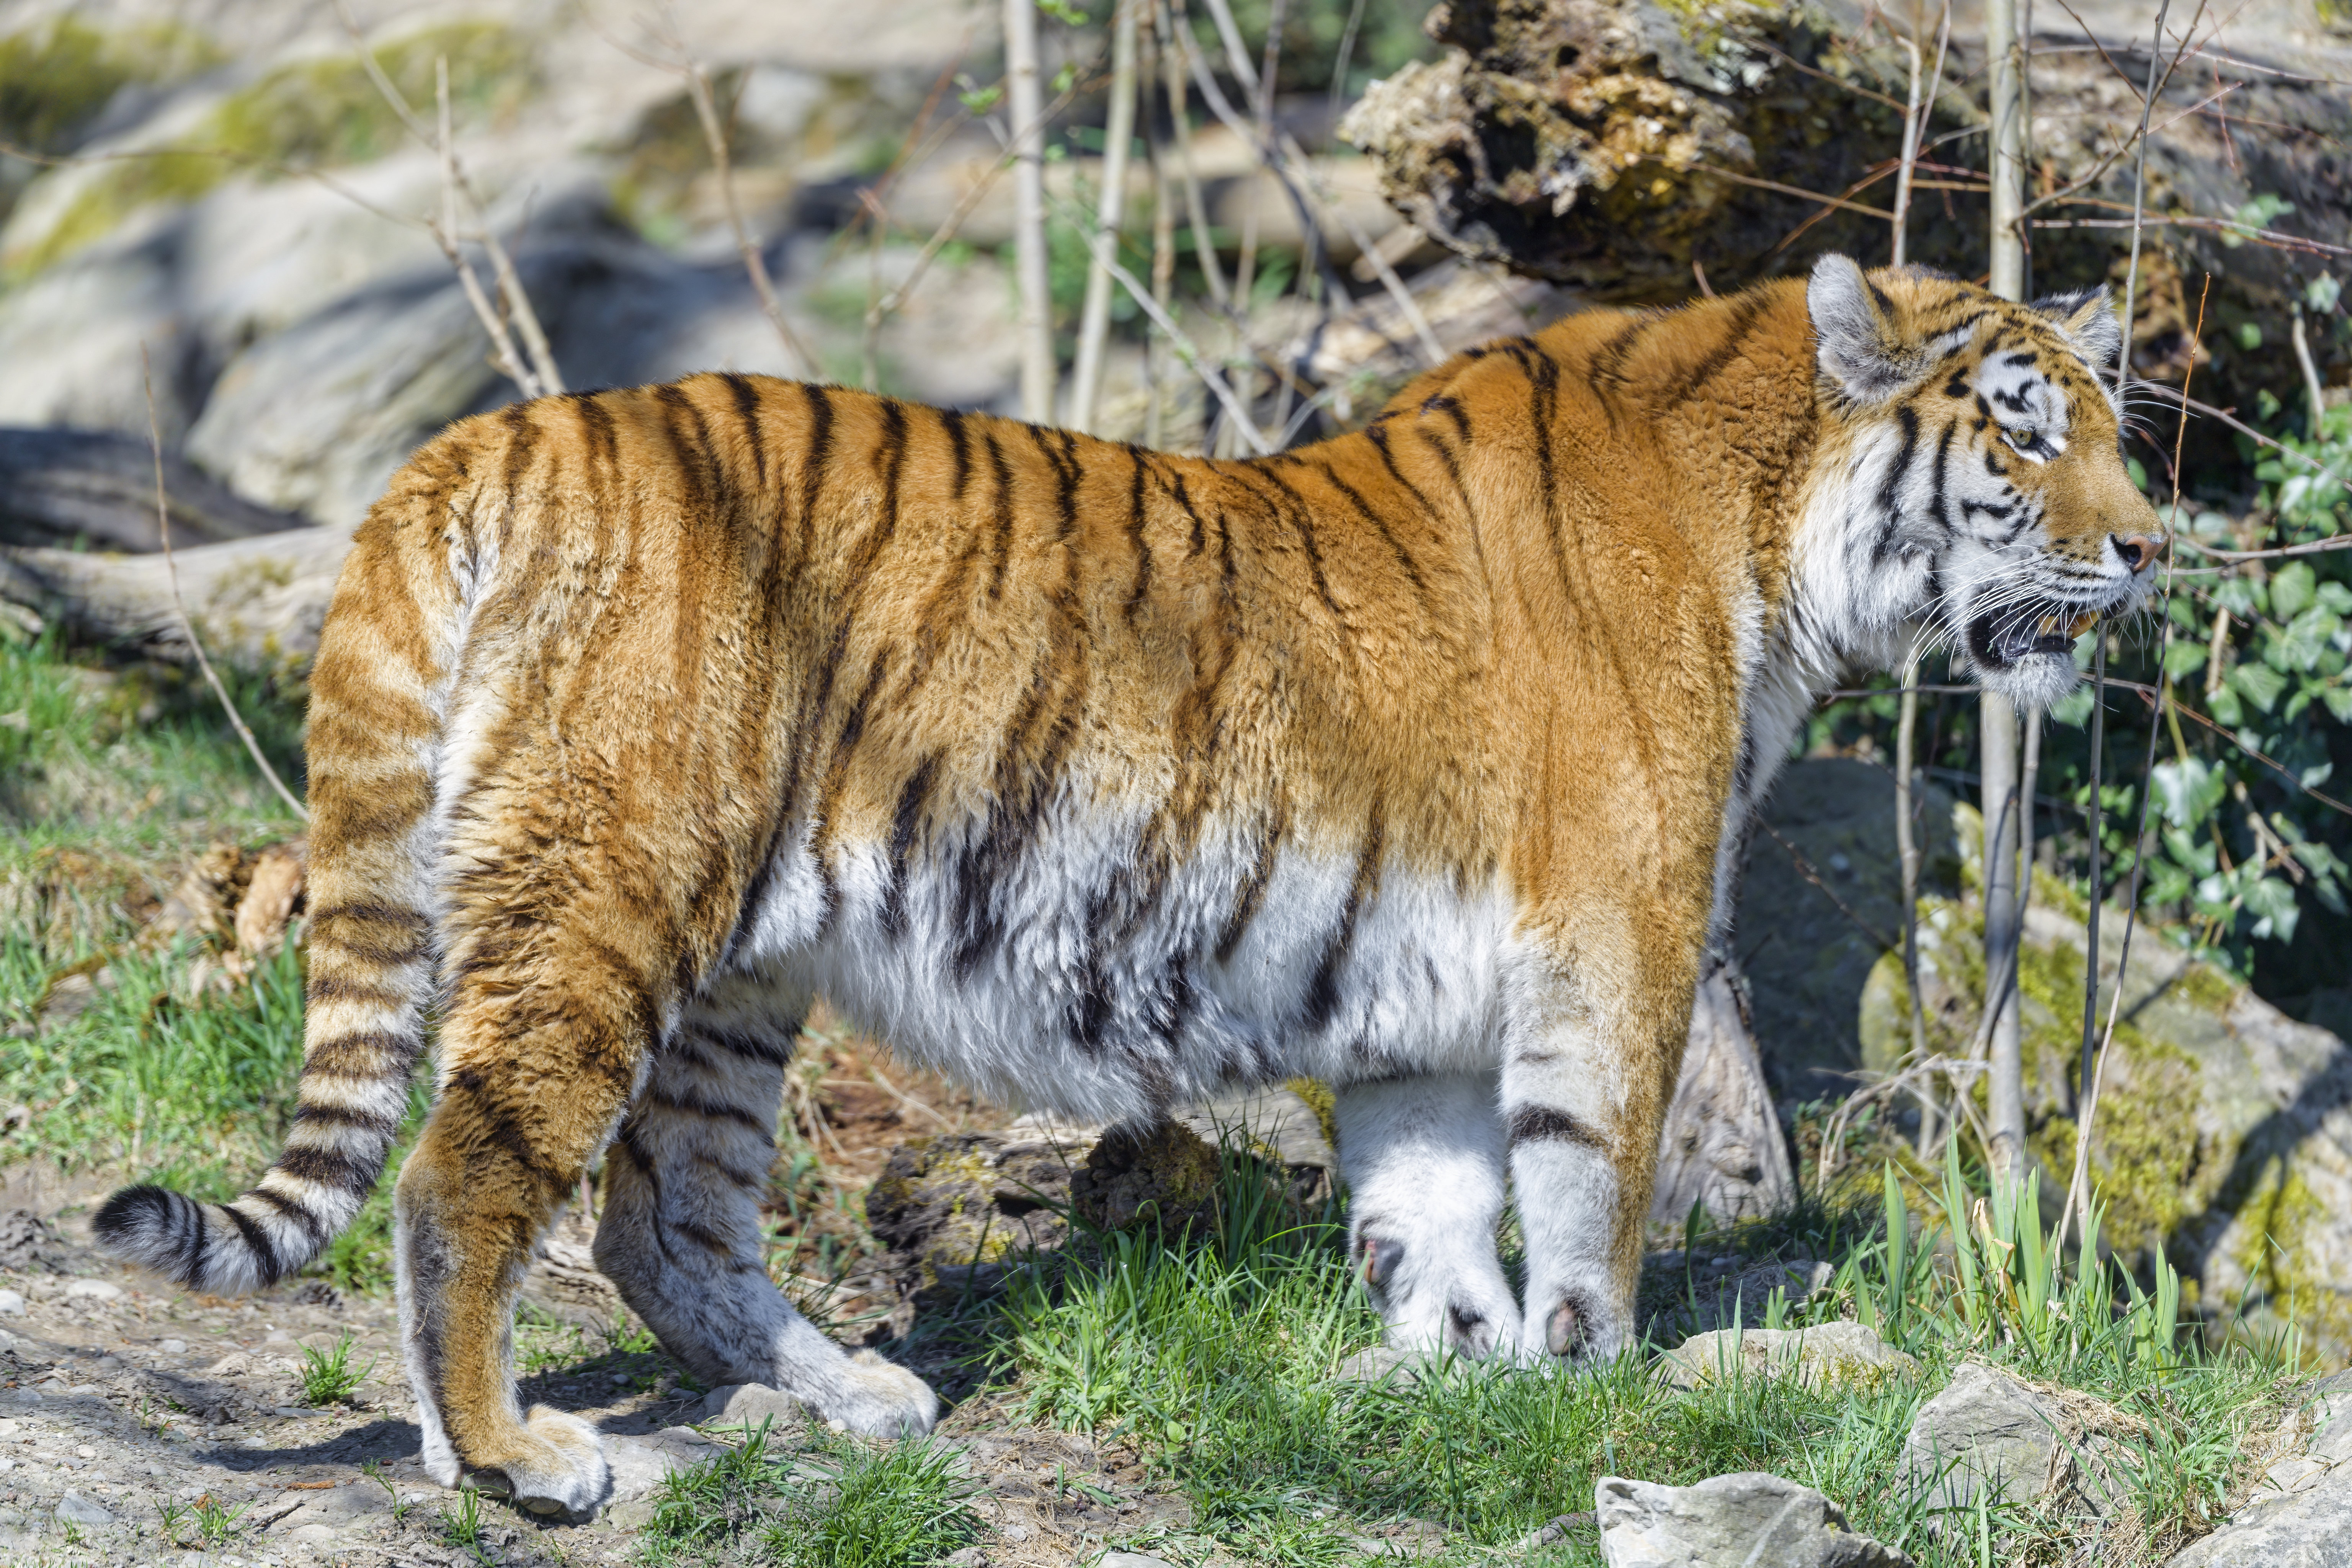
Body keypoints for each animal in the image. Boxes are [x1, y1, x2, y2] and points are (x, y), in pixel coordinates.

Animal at [96, 252, 2164, 1514]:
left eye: (2109, 425)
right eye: (2022, 426)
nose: (2151, 547)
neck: (1772, 539)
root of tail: (491, 428)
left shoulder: (1424, 1003)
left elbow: (1431, 1207)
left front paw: (1451, 1380)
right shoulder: (1618, 941)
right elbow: (1589, 1189)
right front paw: (1602, 1388)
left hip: (743, 969)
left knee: (661, 1219)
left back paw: (852, 1399)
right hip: (612, 897)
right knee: (463, 1176)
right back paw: (513, 1462)